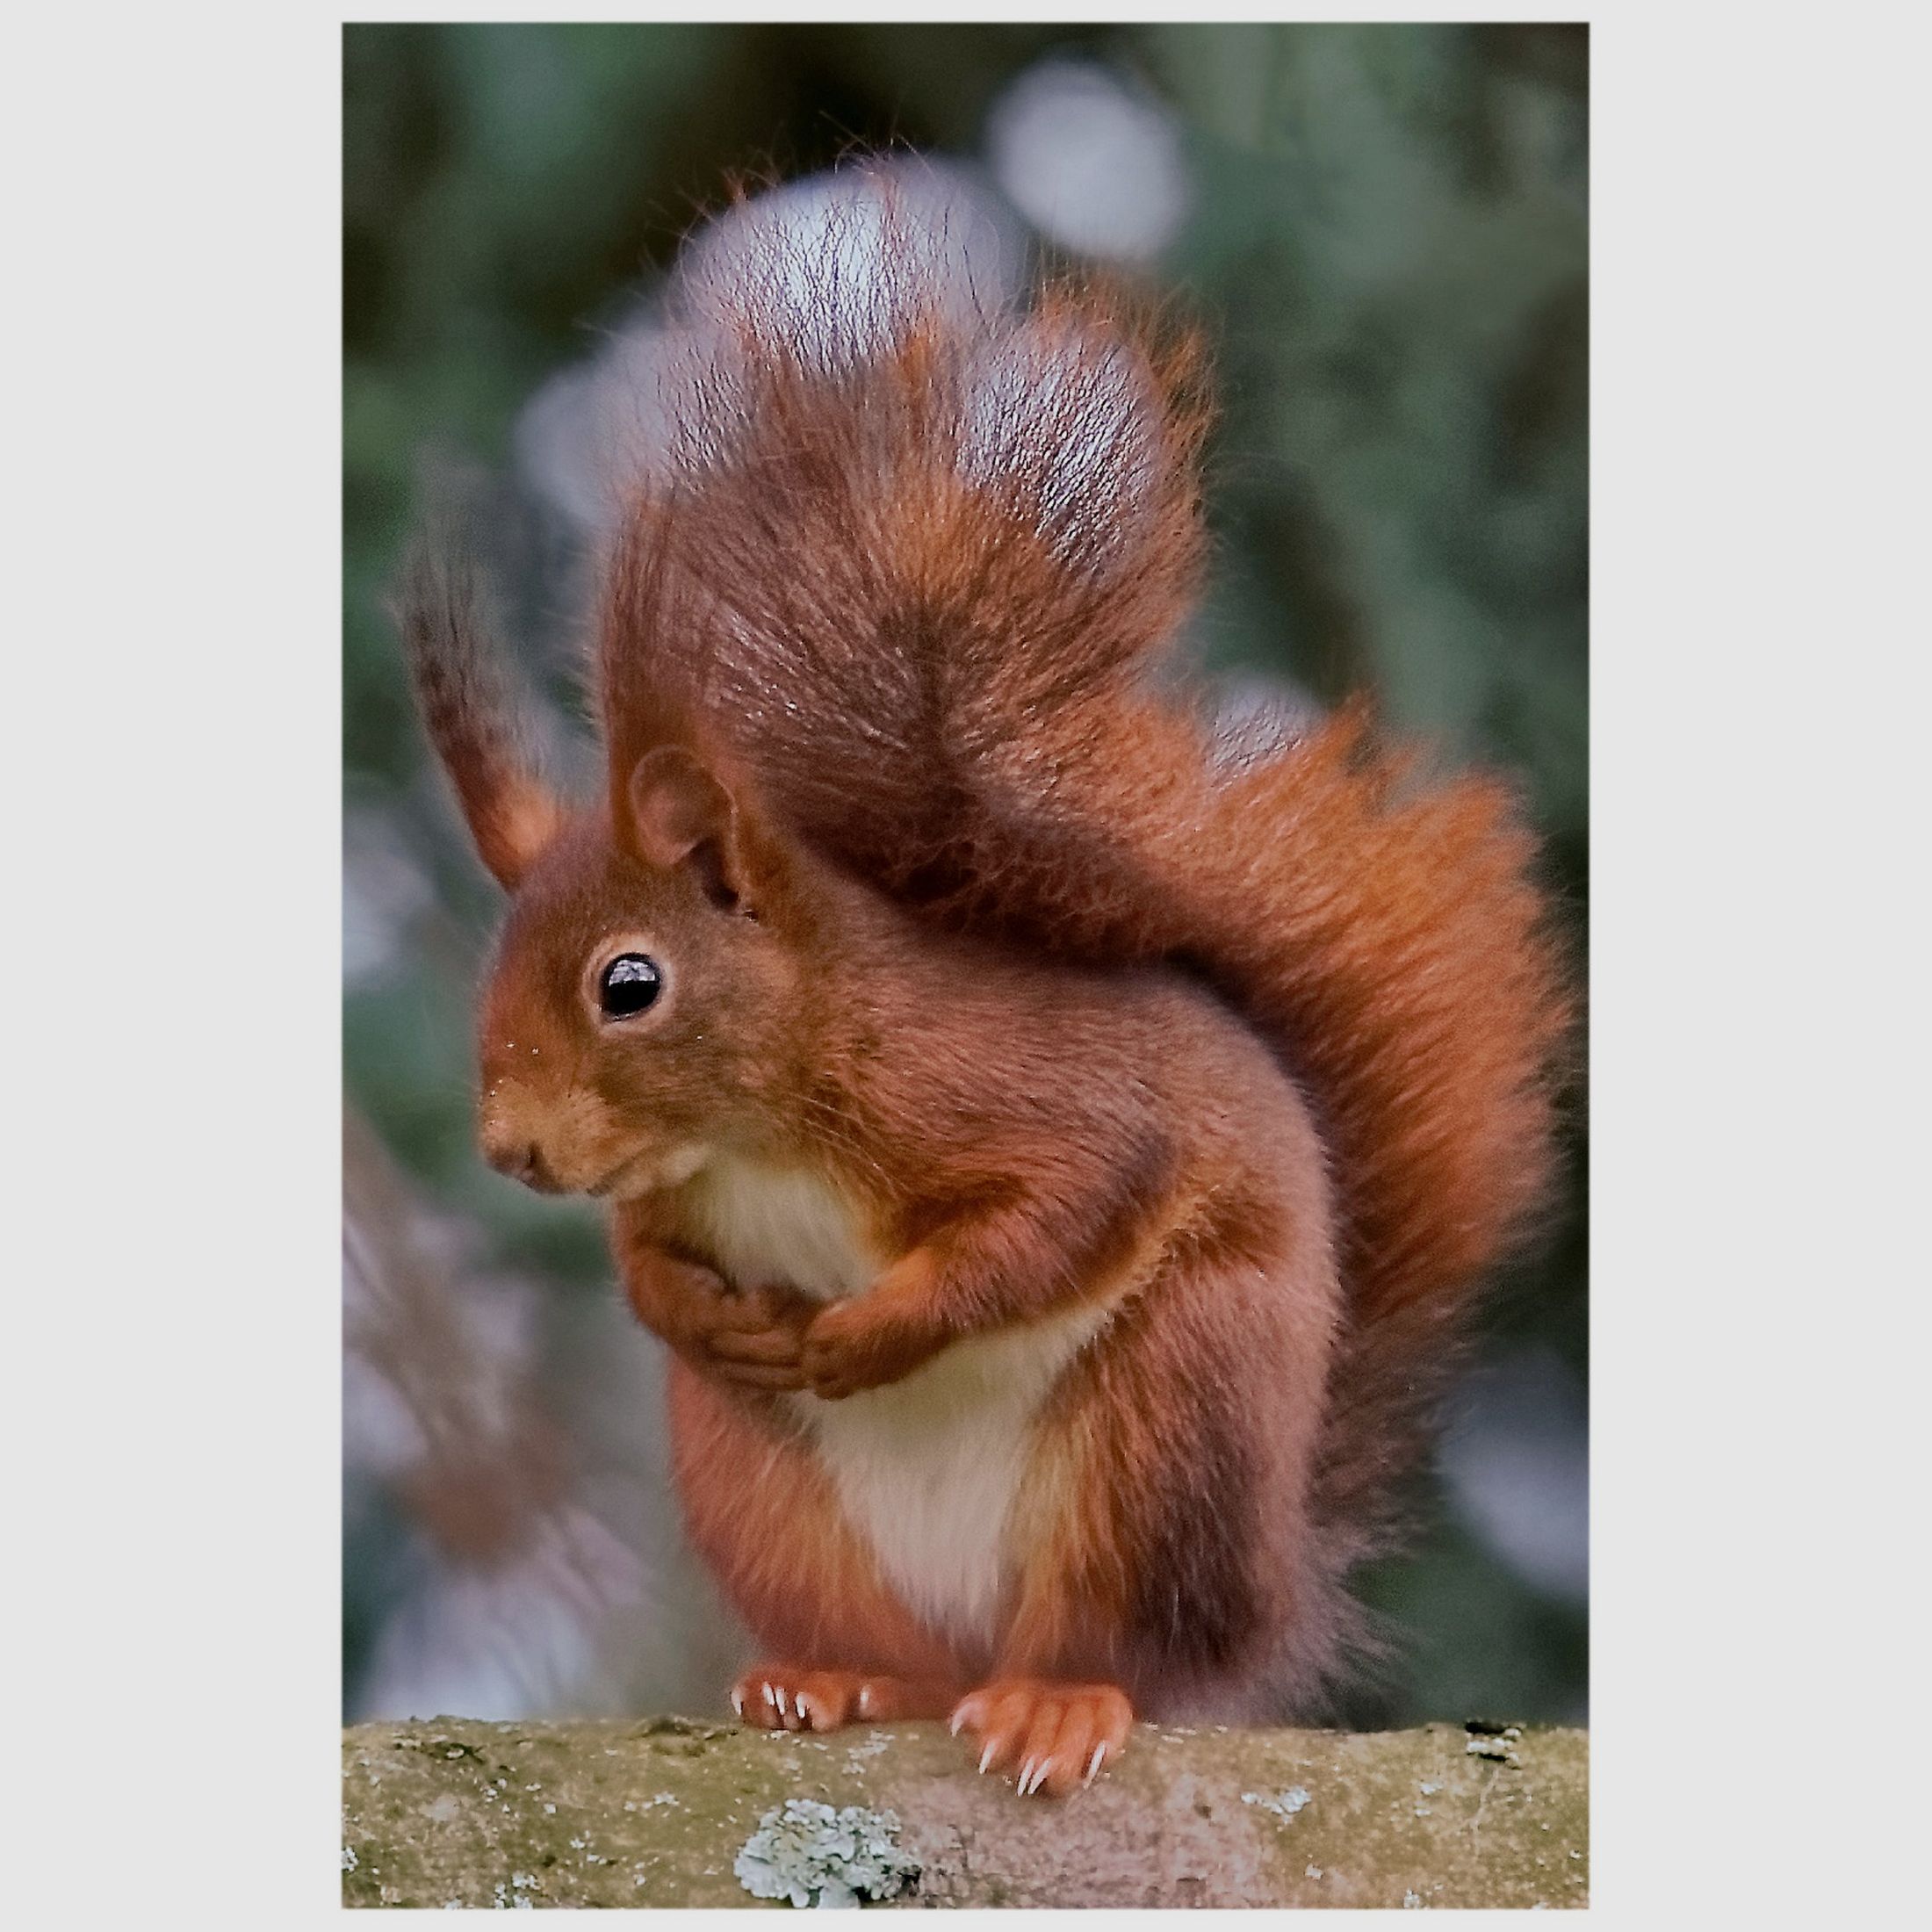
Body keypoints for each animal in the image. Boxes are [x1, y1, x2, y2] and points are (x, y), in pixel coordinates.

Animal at [400, 178, 1572, 1799]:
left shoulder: (1013, 1096)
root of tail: (1267, 1600)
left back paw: (1056, 1703)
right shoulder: (679, 1194)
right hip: (766, 1491)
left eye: (628, 984)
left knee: (1109, 1642)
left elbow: (1052, 1216)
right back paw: (833, 1679)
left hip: (1170, 1426)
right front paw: (697, 1309)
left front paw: (866, 1332)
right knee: (893, 1647)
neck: (762, 1130)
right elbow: (648, 1260)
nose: (511, 1150)